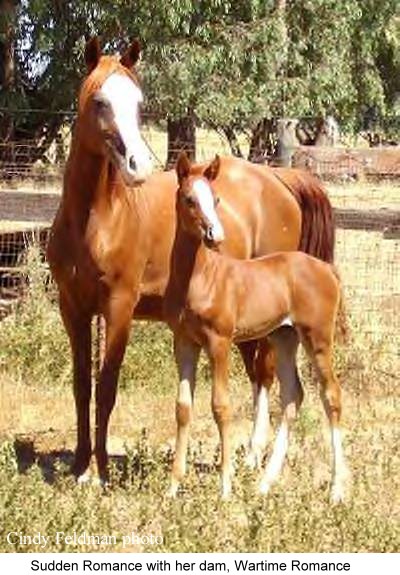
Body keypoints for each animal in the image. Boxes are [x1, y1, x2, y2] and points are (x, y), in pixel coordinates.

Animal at [46, 37, 334, 486]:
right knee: (260, 374)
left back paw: (252, 457)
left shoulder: (120, 305)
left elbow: (107, 386)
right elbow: (82, 386)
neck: (95, 221)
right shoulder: (72, 307)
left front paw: (102, 472)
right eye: (100, 100)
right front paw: (79, 467)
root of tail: (279, 180)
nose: (138, 166)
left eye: (139, 103)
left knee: (265, 374)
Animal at [165, 154, 346, 504]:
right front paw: (173, 486)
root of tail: (326, 269)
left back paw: (337, 489)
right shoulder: (184, 343)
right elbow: (183, 408)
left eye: (217, 199)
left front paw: (224, 487)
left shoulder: (219, 342)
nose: (215, 235)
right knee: (293, 395)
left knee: (331, 395)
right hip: (285, 337)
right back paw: (265, 482)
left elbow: (220, 407)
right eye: (189, 199)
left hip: (317, 338)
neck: (201, 277)